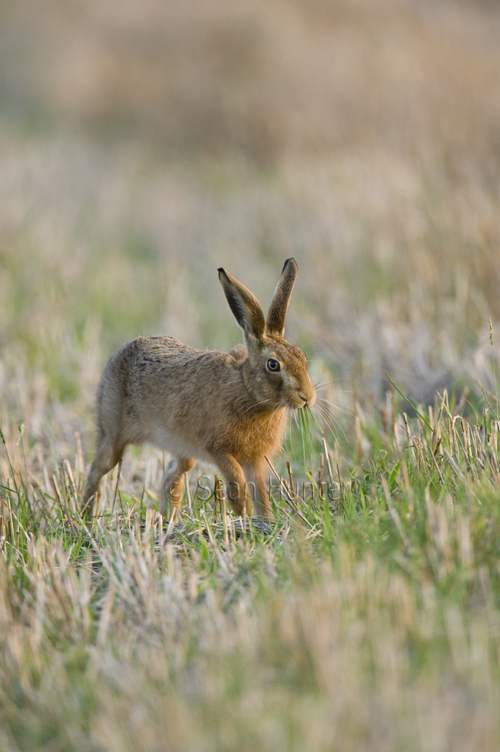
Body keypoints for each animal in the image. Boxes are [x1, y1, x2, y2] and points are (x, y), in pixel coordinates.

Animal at [81, 258, 316, 521]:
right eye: (273, 365)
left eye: (301, 356)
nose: (308, 397)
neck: (247, 390)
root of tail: (118, 353)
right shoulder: (218, 449)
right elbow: (236, 483)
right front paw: (242, 514)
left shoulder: (255, 461)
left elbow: (261, 495)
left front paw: (265, 522)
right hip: (113, 434)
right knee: (97, 469)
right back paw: (85, 516)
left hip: (183, 450)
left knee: (172, 474)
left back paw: (169, 521)